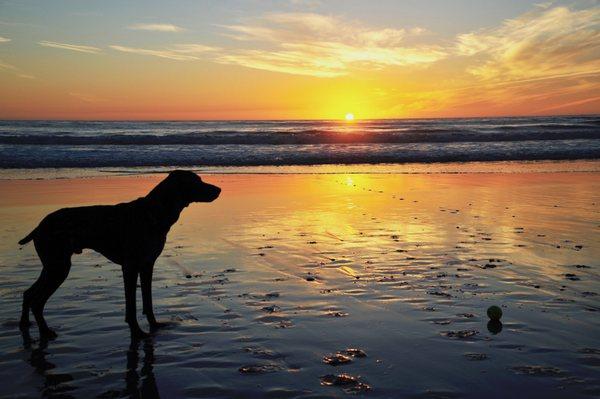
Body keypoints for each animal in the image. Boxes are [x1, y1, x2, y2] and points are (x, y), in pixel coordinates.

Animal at [18, 171, 220, 340]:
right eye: (197, 181)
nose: (219, 189)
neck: (152, 213)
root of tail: (39, 226)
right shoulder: (130, 267)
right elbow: (131, 307)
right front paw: (137, 332)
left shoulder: (147, 265)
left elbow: (148, 301)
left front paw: (154, 325)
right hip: (58, 267)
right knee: (37, 301)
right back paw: (45, 331)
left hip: (52, 265)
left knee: (28, 293)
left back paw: (25, 324)